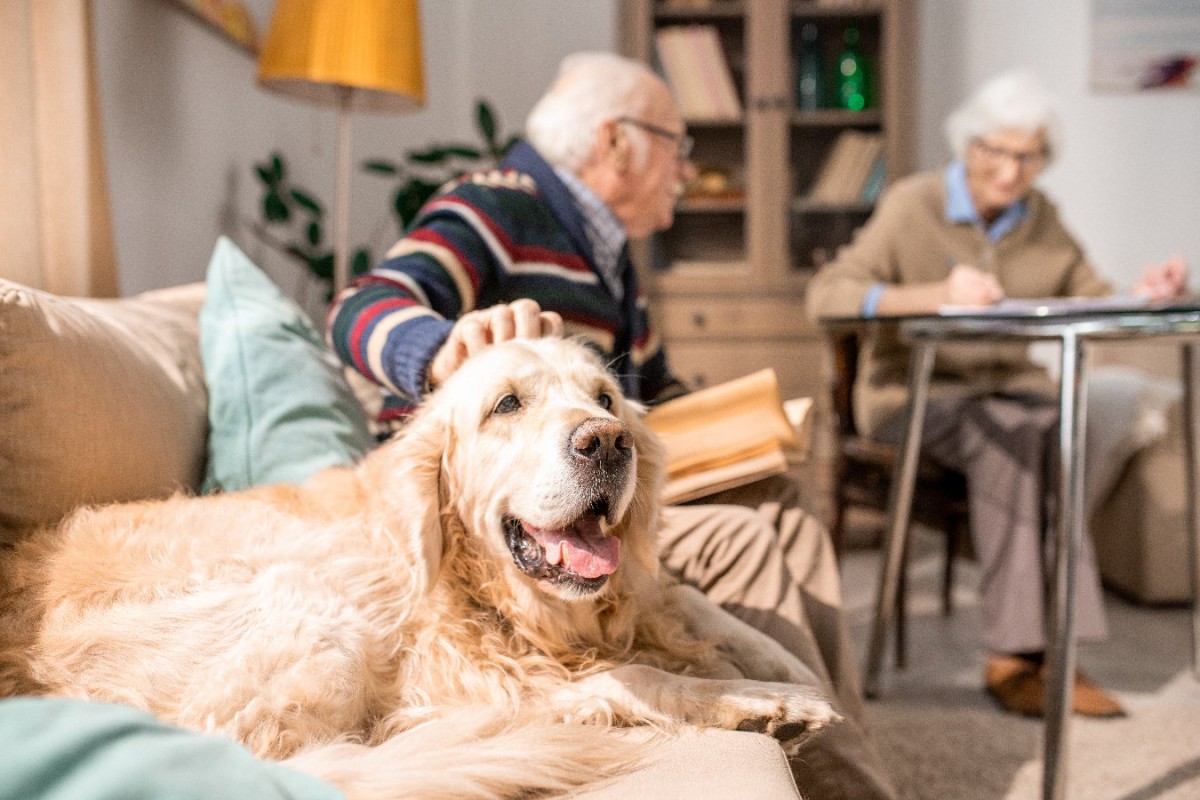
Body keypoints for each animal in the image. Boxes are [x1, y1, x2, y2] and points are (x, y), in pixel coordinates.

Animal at [0, 338, 840, 800]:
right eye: (507, 405)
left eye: (605, 398)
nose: (606, 441)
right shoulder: (452, 677)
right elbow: (640, 676)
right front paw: (757, 702)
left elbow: (700, 613)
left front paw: (789, 672)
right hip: (317, 612)